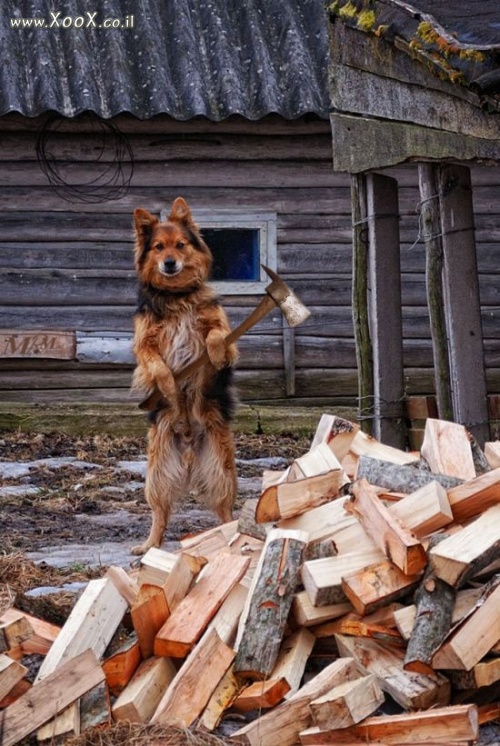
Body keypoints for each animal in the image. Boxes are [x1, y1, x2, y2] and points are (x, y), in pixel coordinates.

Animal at [129, 195, 238, 556]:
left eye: (180, 245)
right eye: (158, 247)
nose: (169, 264)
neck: (177, 296)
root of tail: (189, 447)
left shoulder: (222, 332)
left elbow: (217, 336)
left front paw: (215, 351)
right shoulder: (143, 345)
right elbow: (157, 365)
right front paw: (167, 385)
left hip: (221, 471)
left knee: (226, 512)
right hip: (156, 473)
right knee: (160, 513)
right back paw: (149, 544)